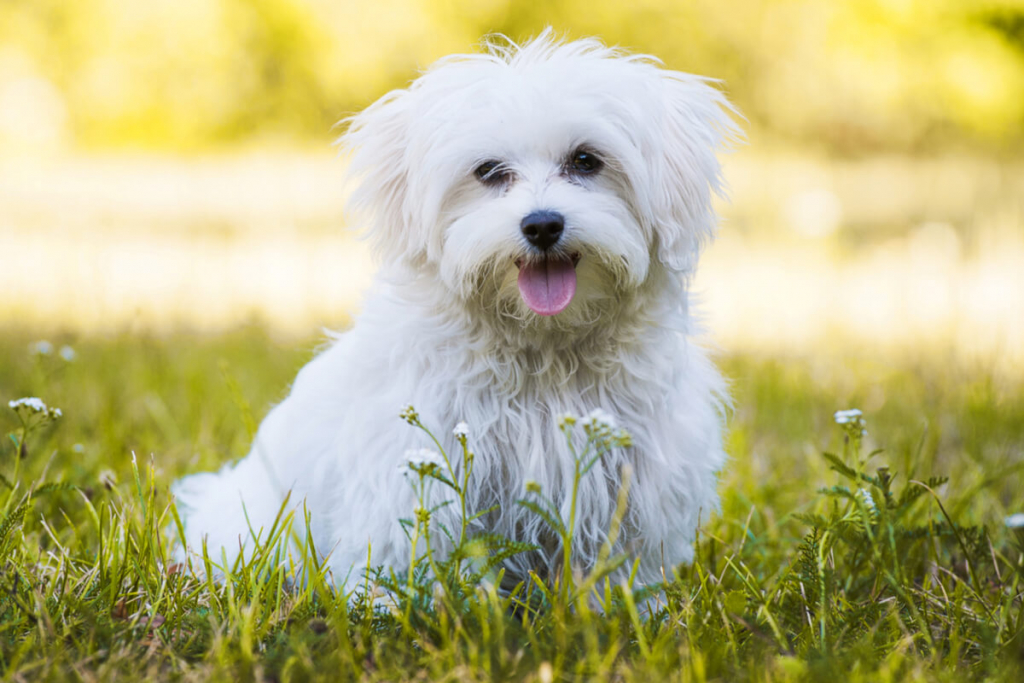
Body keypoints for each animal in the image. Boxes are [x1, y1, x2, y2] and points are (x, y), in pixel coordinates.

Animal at [172, 31, 741, 589]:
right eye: (488, 171)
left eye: (586, 161)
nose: (542, 224)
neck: (543, 349)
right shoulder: (415, 468)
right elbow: (411, 556)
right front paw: (395, 604)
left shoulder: (636, 481)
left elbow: (616, 570)